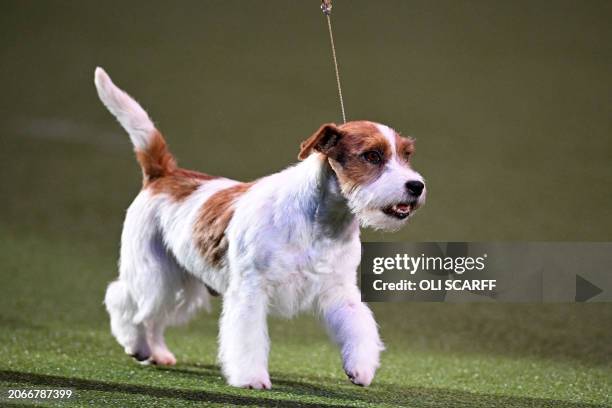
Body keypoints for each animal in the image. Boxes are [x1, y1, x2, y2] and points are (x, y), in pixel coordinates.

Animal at [98, 67, 428, 388]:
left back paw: (157, 352)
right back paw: (138, 345)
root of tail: (162, 174)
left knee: (152, 316)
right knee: (123, 300)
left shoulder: (339, 289)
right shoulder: (250, 290)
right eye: (372, 155)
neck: (322, 222)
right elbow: (248, 340)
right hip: (154, 272)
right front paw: (252, 379)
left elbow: (358, 325)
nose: (416, 186)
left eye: (406, 154)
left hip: (182, 282)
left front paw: (360, 368)